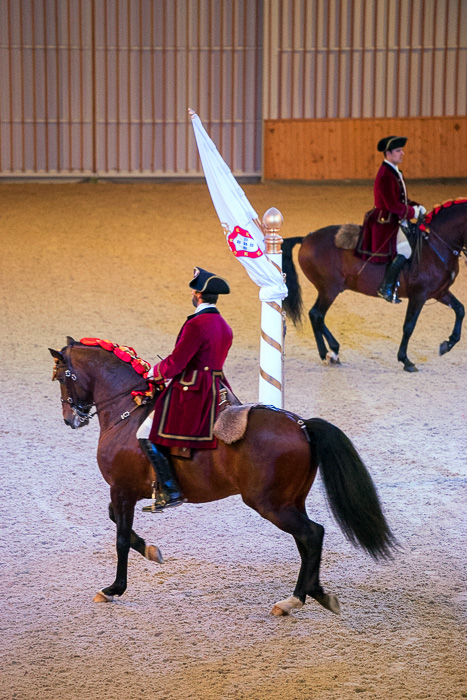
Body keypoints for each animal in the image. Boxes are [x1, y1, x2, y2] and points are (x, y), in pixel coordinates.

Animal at [50, 340, 394, 616]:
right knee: (308, 540)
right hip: (290, 501)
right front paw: (151, 551)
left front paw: (113, 588)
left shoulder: (121, 489)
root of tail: (301, 424)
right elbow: (118, 524)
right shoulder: (126, 492)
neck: (127, 411)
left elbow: (120, 539)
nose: (70, 419)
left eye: (63, 377)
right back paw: (309, 594)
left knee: (311, 535)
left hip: (270, 505)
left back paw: (299, 599)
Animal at [282, 197, 467, 372]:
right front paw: (405, 360)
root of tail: (306, 238)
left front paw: (447, 344)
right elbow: (409, 326)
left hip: (327, 290)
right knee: (317, 315)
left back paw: (329, 353)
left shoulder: (440, 292)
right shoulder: (418, 295)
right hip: (329, 290)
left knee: (315, 316)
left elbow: (460, 310)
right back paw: (331, 351)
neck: (436, 245)